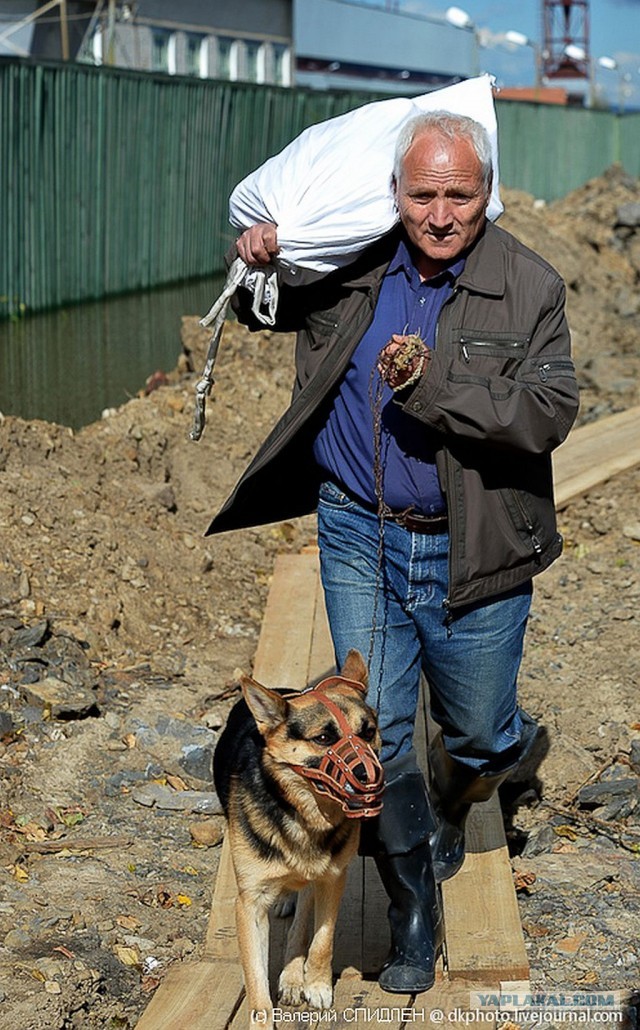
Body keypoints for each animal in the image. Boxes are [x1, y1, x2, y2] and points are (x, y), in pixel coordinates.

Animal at [212, 646, 381, 1025]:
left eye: (368, 732)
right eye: (324, 738)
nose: (371, 776)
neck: (304, 816)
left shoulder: (331, 879)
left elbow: (321, 941)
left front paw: (315, 984)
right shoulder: (249, 905)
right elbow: (256, 982)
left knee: (301, 920)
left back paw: (292, 974)